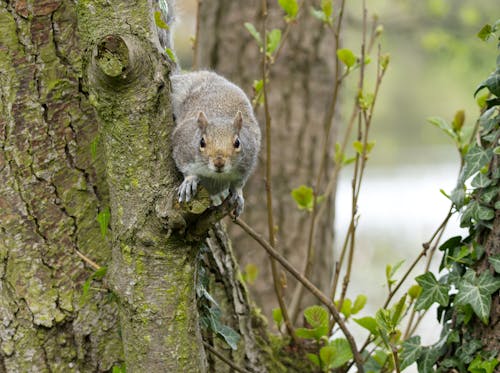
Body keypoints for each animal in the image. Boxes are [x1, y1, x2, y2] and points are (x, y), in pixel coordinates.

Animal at [158, 0, 262, 217]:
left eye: (237, 143)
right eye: (202, 142)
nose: (219, 162)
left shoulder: (248, 161)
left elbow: (238, 184)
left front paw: (238, 196)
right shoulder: (182, 148)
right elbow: (187, 168)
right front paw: (189, 182)